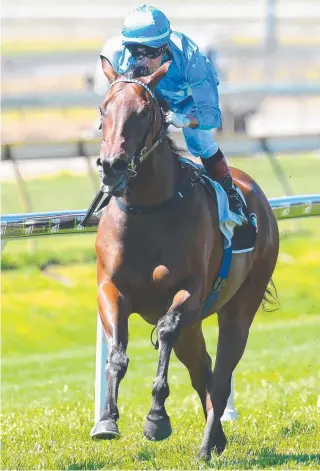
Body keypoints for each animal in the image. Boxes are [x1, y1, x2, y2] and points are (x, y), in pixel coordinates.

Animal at [90, 60, 278, 460]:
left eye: (144, 112)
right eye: (103, 109)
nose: (112, 166)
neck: (148, 210)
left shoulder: (188, 293)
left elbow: (165, 331)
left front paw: (156, 419)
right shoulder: (110, 289)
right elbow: (117, 354)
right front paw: (107, 420)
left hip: (240, 307)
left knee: (219, 379)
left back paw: (207, 446)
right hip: (197, 325)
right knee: (201, 370)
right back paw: (217, 438)